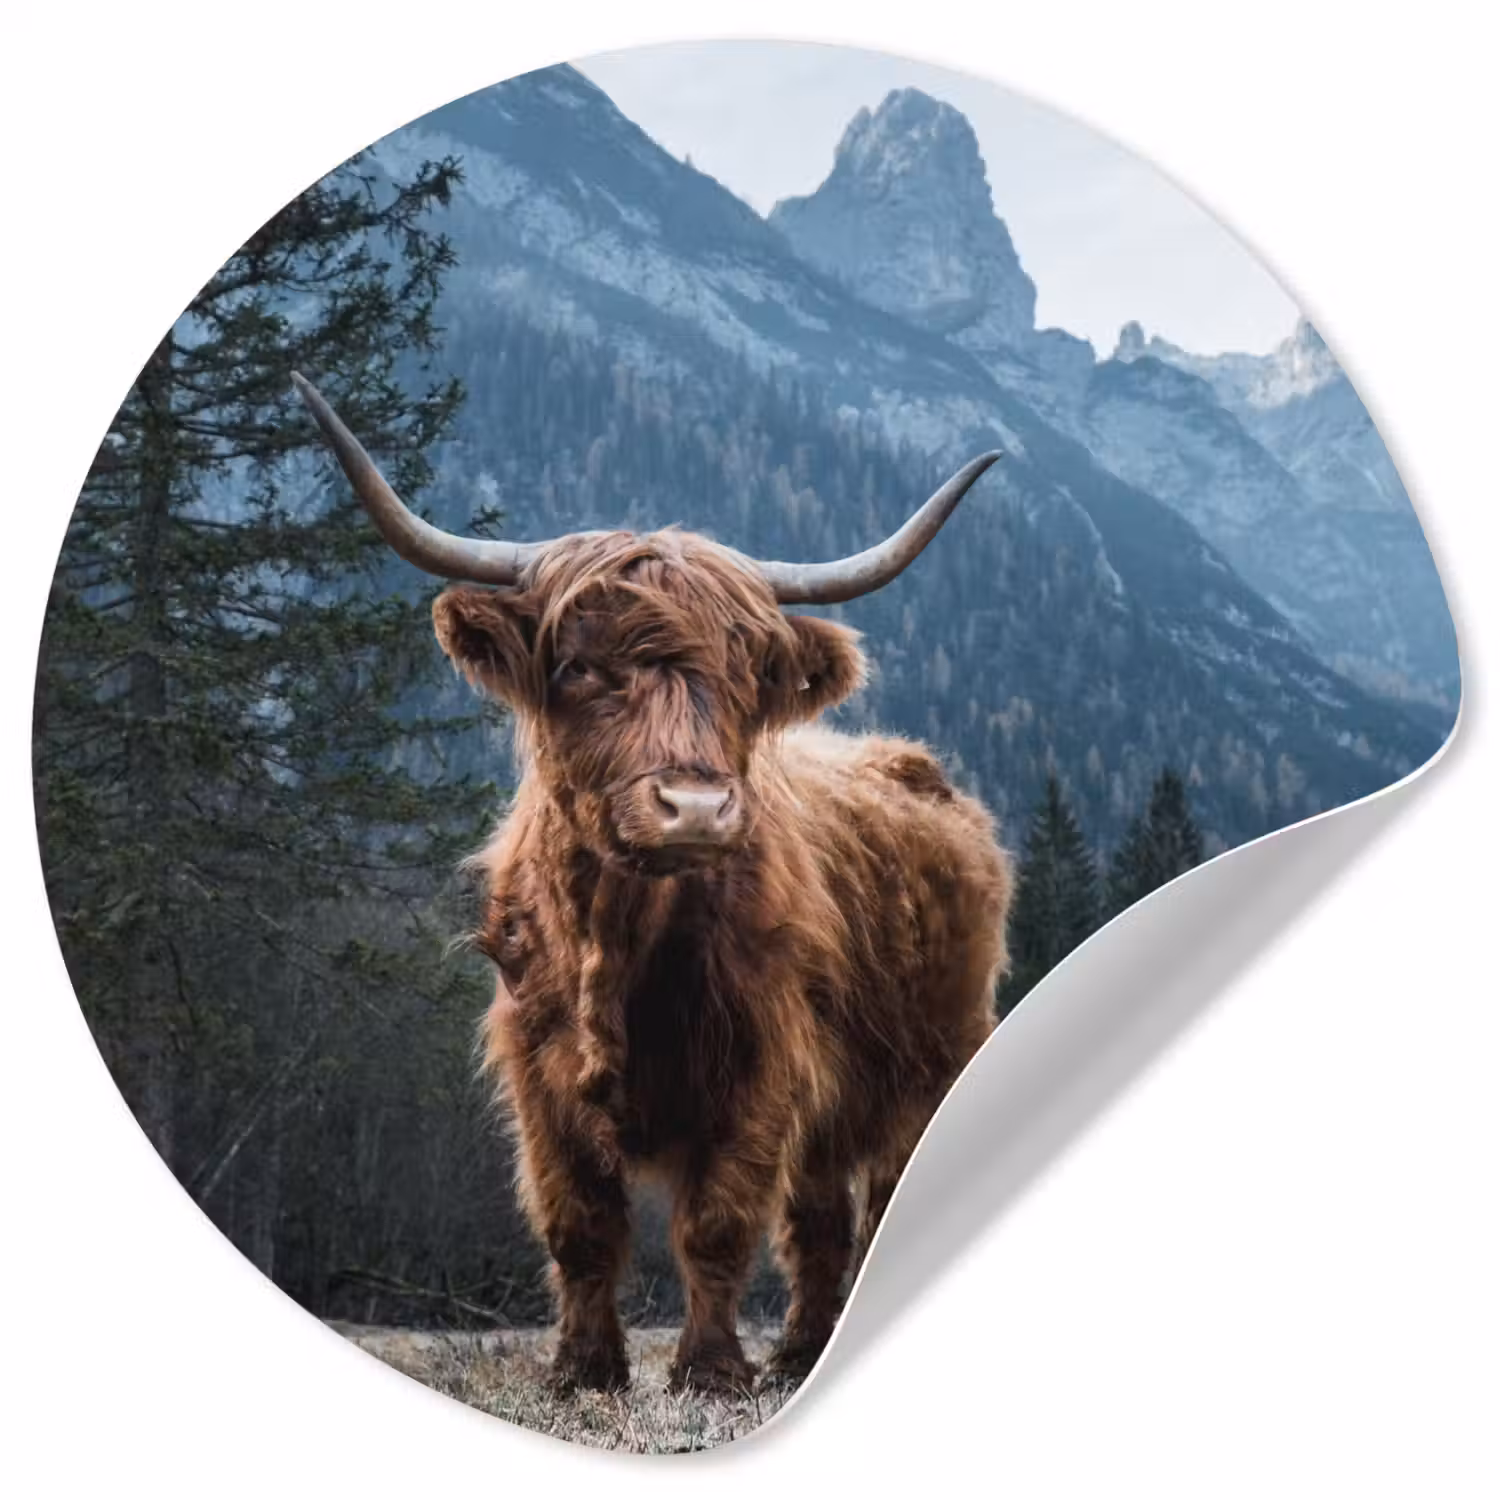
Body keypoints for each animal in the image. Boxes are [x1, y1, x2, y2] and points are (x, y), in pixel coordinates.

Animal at [293, 373, 1015, 1394]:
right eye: (578, 666)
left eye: (748, 674)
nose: (697, 808)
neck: (619, 940)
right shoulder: (539, 1073)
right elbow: (580, 1225)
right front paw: (584, 1368)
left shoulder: (759, 1065)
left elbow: (716, 1224)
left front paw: (708, 1371)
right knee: (821, 1221)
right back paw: (801, 1353)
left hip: (934, 1058)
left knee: (876, 1199)